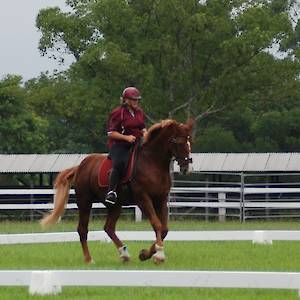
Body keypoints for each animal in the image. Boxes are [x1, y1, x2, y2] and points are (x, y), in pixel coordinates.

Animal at [40, 118, 192, 264]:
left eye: (189, 141)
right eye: (178, 142)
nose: (186, 168)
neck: (152, 162)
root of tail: (80, 166)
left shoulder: (161, 198)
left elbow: (164, 228)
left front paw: (145, 254)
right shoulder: (143, 198)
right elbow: (157, 224)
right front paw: (159, 255)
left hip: (115, 205)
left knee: (109, 227)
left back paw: (124, 254)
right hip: (85, 202)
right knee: (82, 229)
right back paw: (89, 259)